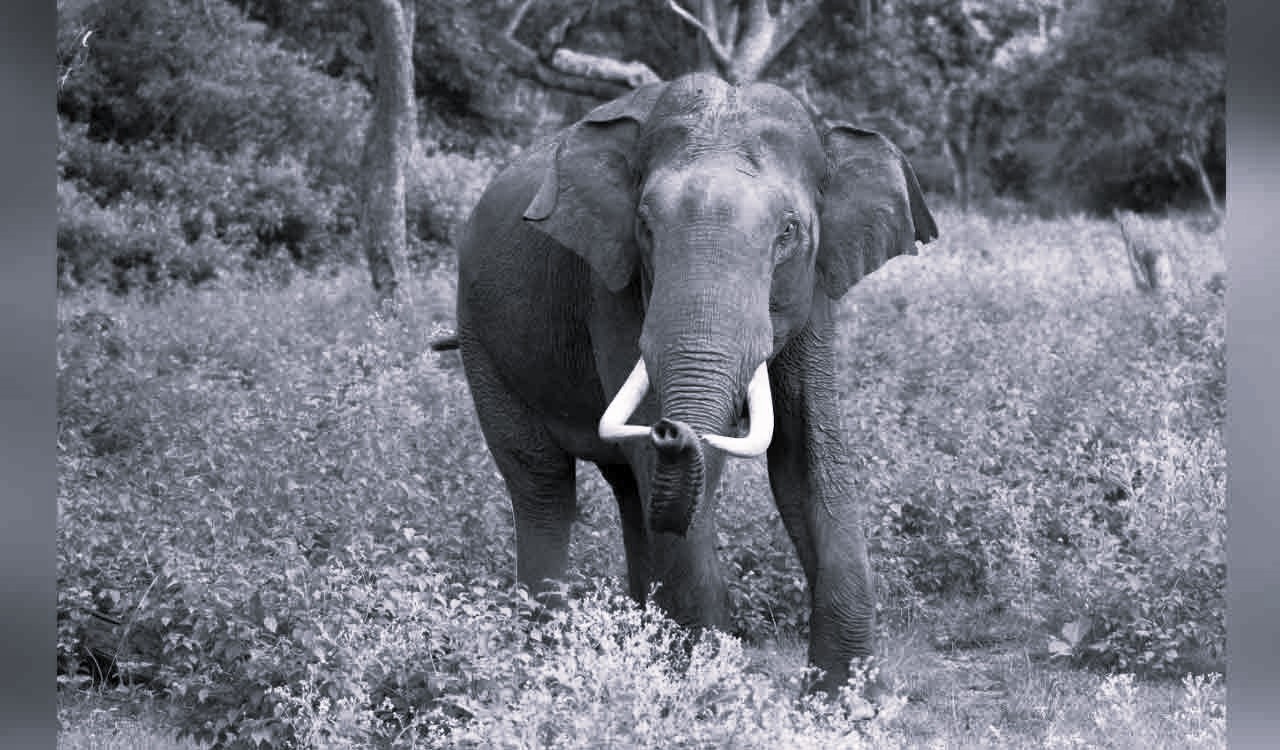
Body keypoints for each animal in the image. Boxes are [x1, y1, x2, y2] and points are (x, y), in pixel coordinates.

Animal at [445, 72, 937, 697]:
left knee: (629, 493)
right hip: (481, 339)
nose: (671, 429)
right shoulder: (613, 286)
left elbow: (807, 458)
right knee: (543, 487)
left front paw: (846, 703)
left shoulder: (816, 289)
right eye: (645, 227)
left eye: (789, 232)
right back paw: (543, 666)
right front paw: (705, 692)